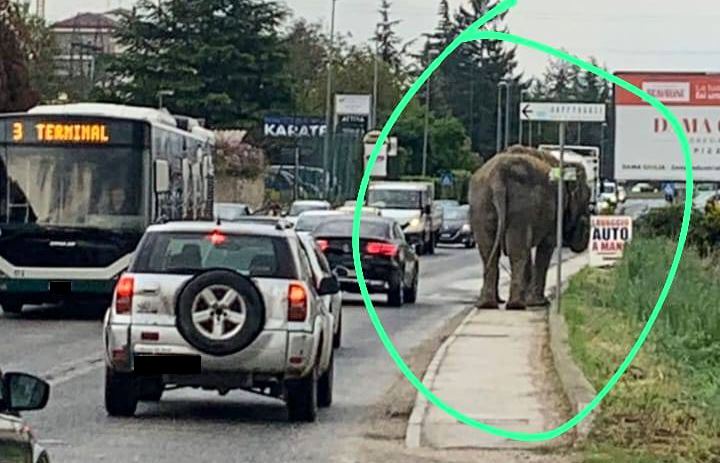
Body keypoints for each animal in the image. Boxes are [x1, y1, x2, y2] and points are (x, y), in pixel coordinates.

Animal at [466, 147, 592, 310]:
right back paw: (516, 305)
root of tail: (498, 175)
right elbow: (546, 246)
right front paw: (540, 303)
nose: (586, 225)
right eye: (588, 197)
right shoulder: (554, 215)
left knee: (489, 251)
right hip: (521, 207)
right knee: (517, 252)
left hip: (481, 203)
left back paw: (488, 304)